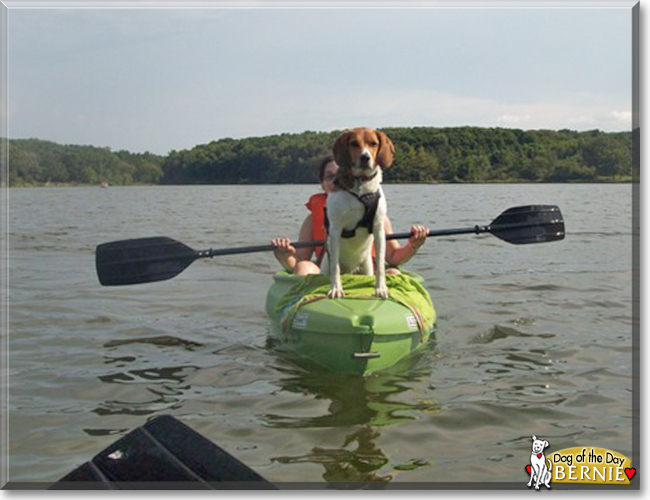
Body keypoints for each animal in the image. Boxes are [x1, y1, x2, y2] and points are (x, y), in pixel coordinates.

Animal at [322, 127, 392, 298]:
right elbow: (335, 267)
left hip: (366, 267)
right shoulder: (335, 229)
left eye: (374, 143)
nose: (365, 157)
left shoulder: (378, 229)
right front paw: (336, 288)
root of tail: (351, 270)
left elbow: (381, 265)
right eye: (354, 143)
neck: (361, 188)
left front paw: (381, 288)